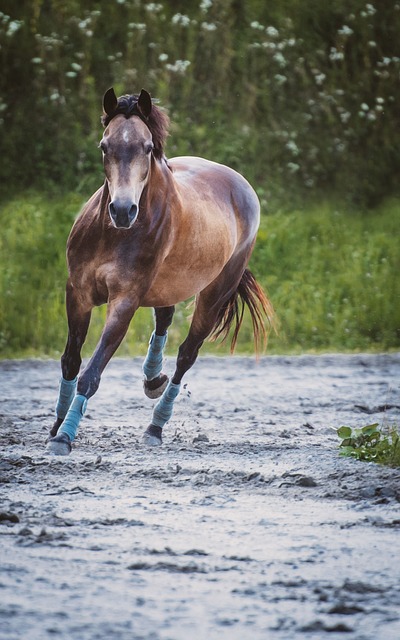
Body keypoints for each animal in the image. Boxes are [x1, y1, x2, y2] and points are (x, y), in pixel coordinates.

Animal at [47, 87, 276, 456]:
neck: (112, 234)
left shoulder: (124, 300)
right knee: (165, 318)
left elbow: (91, 373)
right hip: (167, 284)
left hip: (215, 293)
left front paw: (64, 436)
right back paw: (153, 378)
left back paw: (155, 426)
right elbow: (71, 360)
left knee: (186, 355)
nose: (122, 210)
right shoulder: (78, 292)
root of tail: (240, 184)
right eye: (104, 146)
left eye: (147, 147)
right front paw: (55, 426)